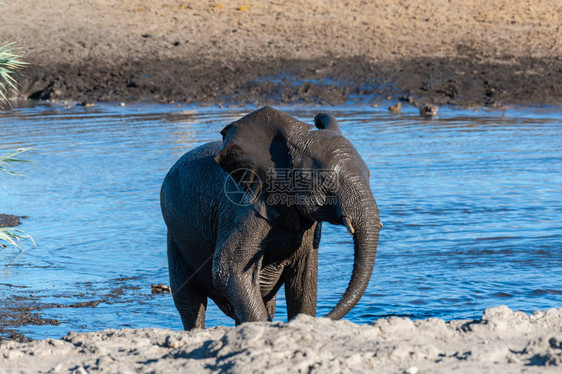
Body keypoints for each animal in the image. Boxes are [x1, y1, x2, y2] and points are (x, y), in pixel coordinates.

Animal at [162, 106, 380, 330]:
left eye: (369, 175)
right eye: (326, 181)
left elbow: (305, 280)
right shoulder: (243, 209)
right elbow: (228, 271)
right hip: (175, 237)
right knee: (189, 302)